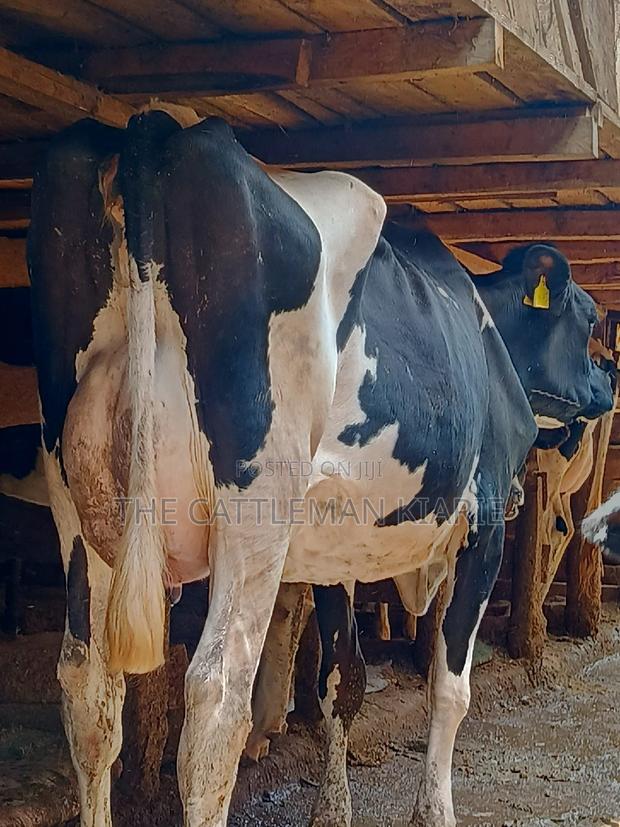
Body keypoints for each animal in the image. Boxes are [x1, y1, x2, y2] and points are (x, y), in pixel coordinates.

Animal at [26, 104, 613, 827]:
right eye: (587, 318)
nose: (609, 382)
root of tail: (158, 130)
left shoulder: (338, 548)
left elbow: (343, 677)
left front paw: (332, 808)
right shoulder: (485, 523)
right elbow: (450, 685)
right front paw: (433, 811)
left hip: (75, 498)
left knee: (89, 691)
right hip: (255, 501)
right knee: (215, 699)